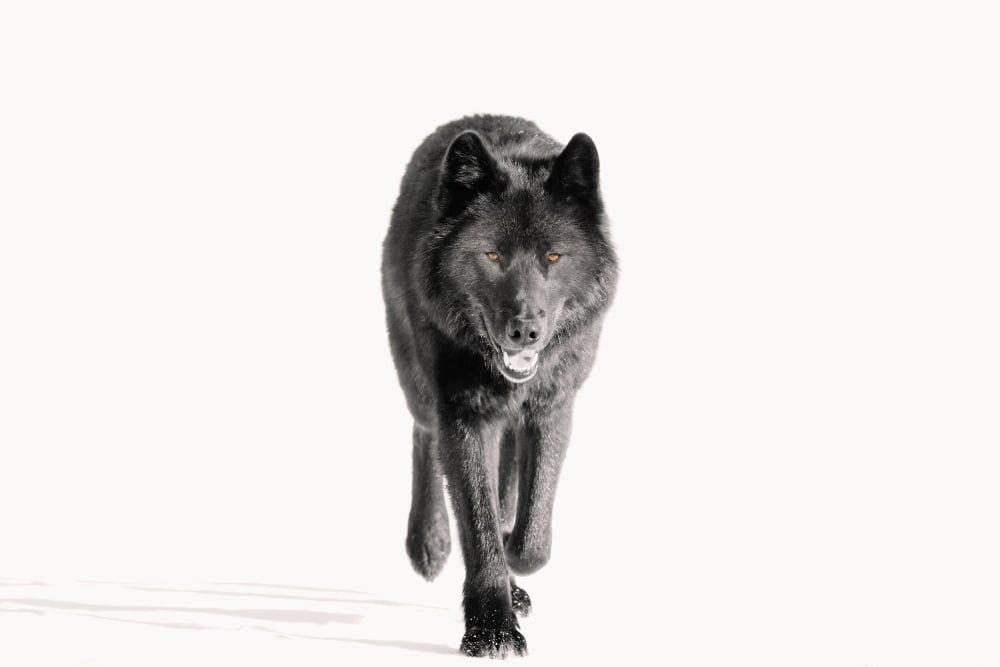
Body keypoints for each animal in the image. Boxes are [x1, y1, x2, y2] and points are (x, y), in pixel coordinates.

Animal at [381, 115, 618, 657]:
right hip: (420, 387)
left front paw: (514, 561)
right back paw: (429, 543)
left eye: (553, 256)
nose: (525, 331)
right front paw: (492, 628)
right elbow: (479, 521)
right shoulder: (463, 416)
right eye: (492, 254)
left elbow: (531, 535)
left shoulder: (554, 408)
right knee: (423, 434)